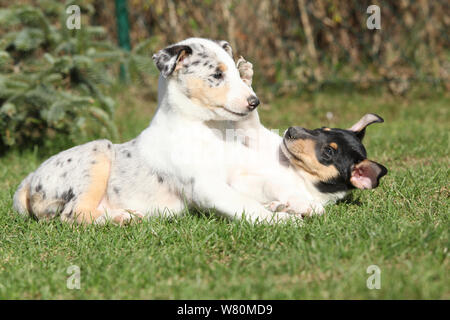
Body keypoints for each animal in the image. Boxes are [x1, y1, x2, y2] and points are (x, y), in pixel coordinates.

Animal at [13, 38, 288, 225]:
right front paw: (284, 221)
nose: (254, 102)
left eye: (234, 72)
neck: (207, 129)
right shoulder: (206, 187)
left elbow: (256, 189)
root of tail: (28, 180)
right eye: (217, 74)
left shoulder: (233, 177)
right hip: (98, 151)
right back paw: (122, 218)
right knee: (74, 214)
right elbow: (245, 204)